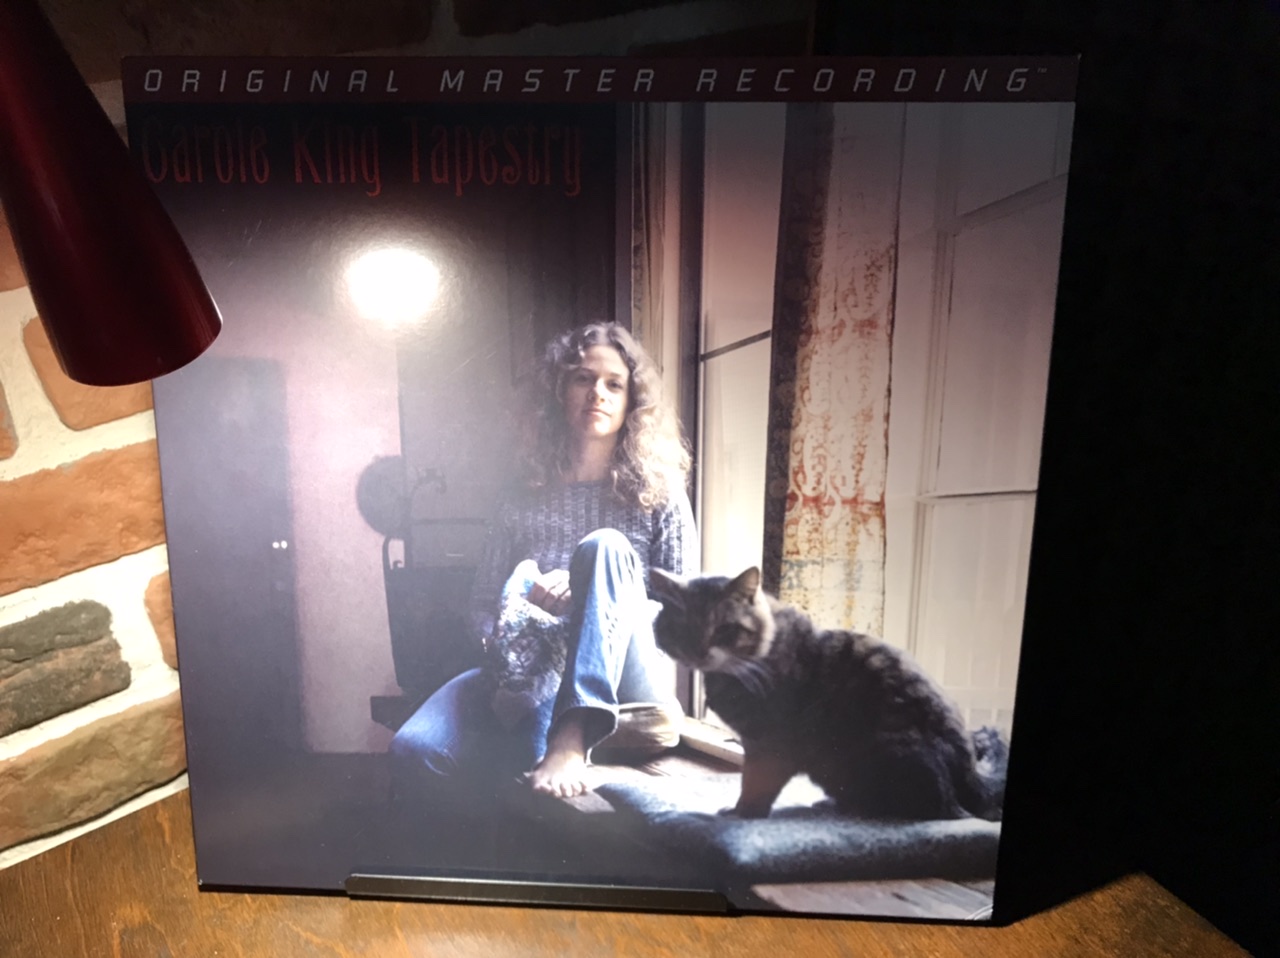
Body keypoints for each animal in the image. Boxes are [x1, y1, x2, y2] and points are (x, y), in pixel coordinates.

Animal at [650, 566, 1008, 822]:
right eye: (683, 628)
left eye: (725, 629)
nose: (699, 652)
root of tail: (972, 775)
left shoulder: (770, 745)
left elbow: (755, 782)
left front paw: (743, 813)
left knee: (939, 811)